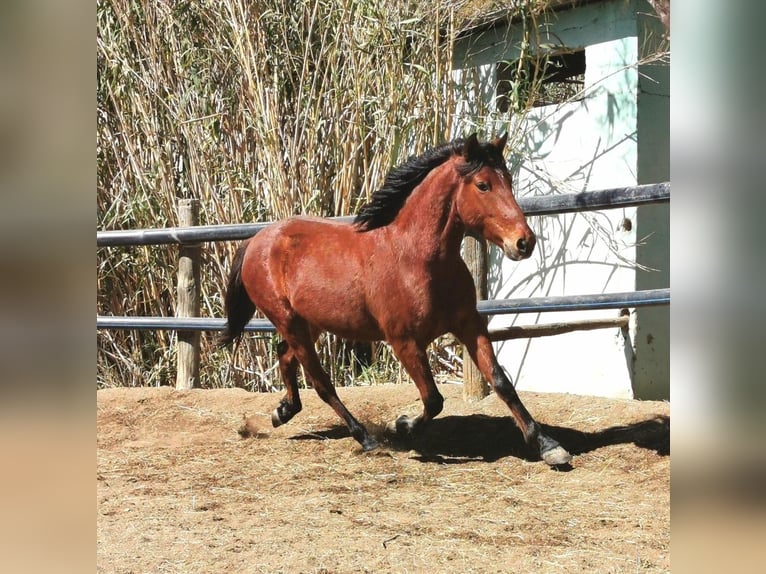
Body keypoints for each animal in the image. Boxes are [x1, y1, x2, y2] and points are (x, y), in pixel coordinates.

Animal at [219, 134, 572, 468]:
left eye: (509, 180)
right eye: (483, 185)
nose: (524, 242)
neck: (419, 259)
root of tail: (257, 239)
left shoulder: (469, 324)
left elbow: (501, 381)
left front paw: (549, 446)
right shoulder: (404, 341)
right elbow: (433, 399)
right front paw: (399, 426)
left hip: (311, 322)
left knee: (286, 356)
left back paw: (283, 412)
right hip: (289, 320)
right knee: (321, 381)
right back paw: (365, 438)